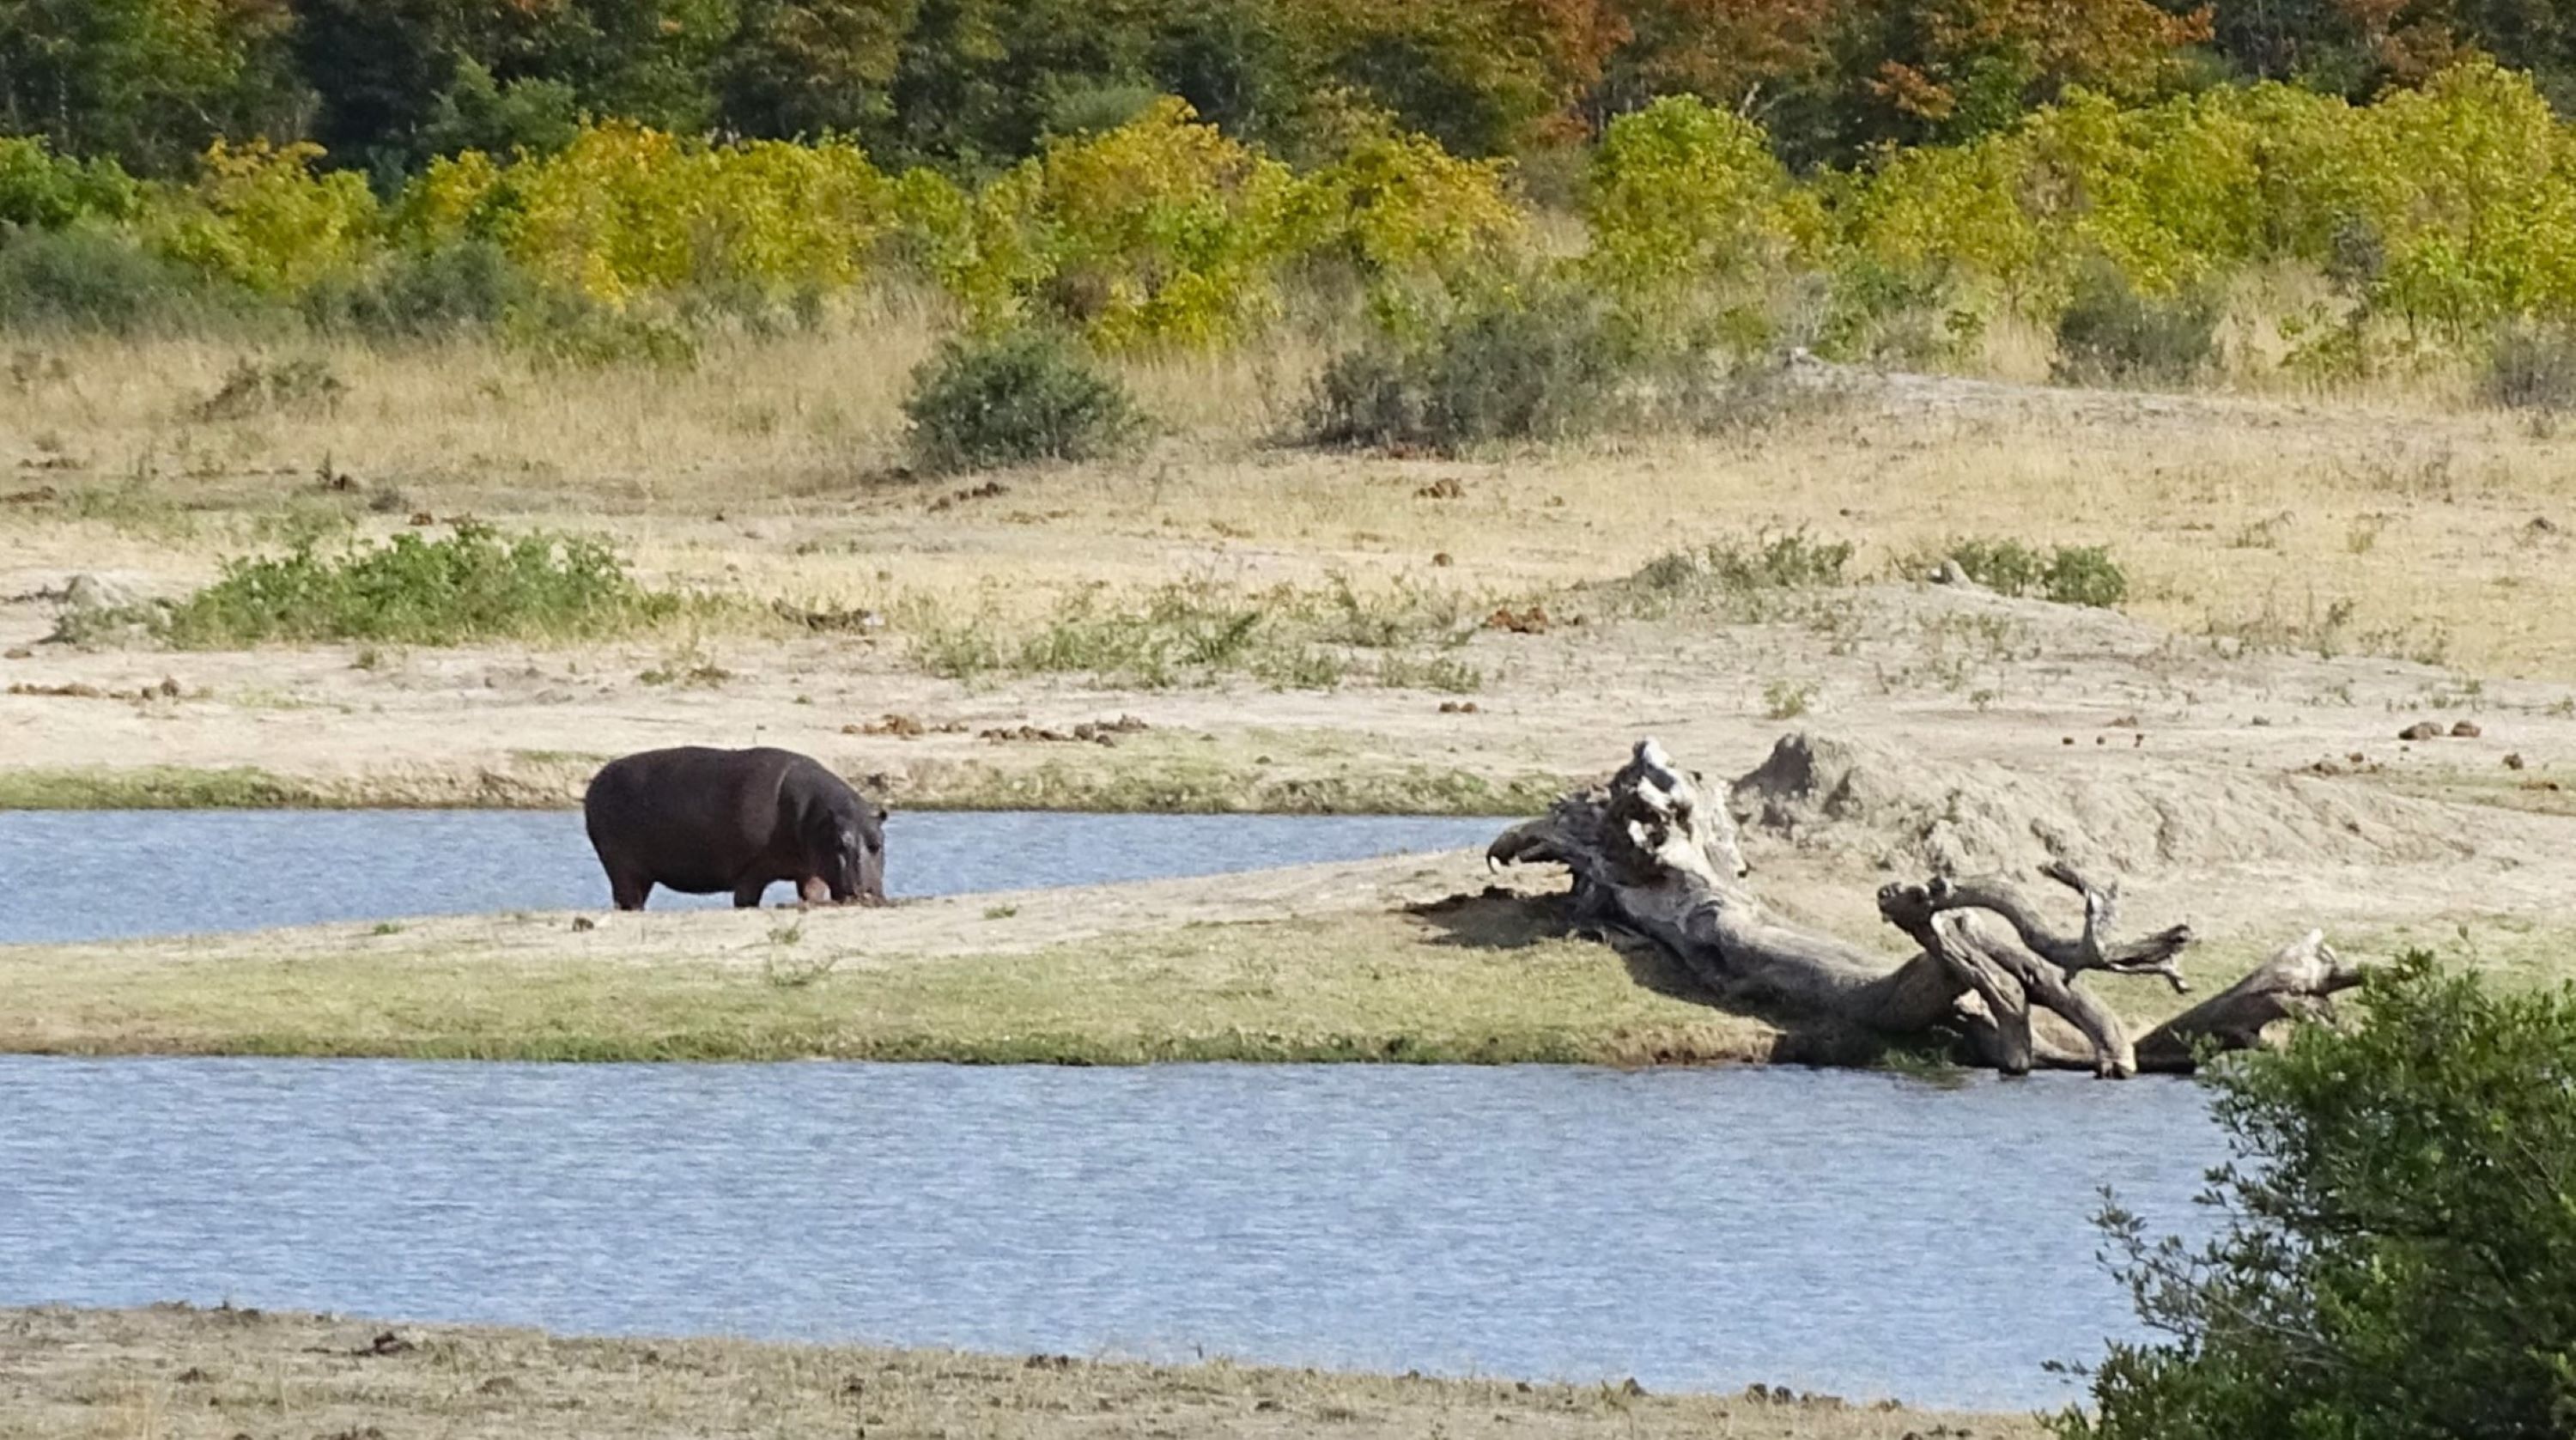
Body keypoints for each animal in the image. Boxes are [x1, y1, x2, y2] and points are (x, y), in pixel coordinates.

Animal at [582, 747, 886, 907]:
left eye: (878, 843)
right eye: (839, 843)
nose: (864, 894)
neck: (818, 815)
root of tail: (595, 782)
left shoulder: (811, 872)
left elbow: (811, 893)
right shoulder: (752, 871)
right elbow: (746, 899)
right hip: (622, 868)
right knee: (628, 900)